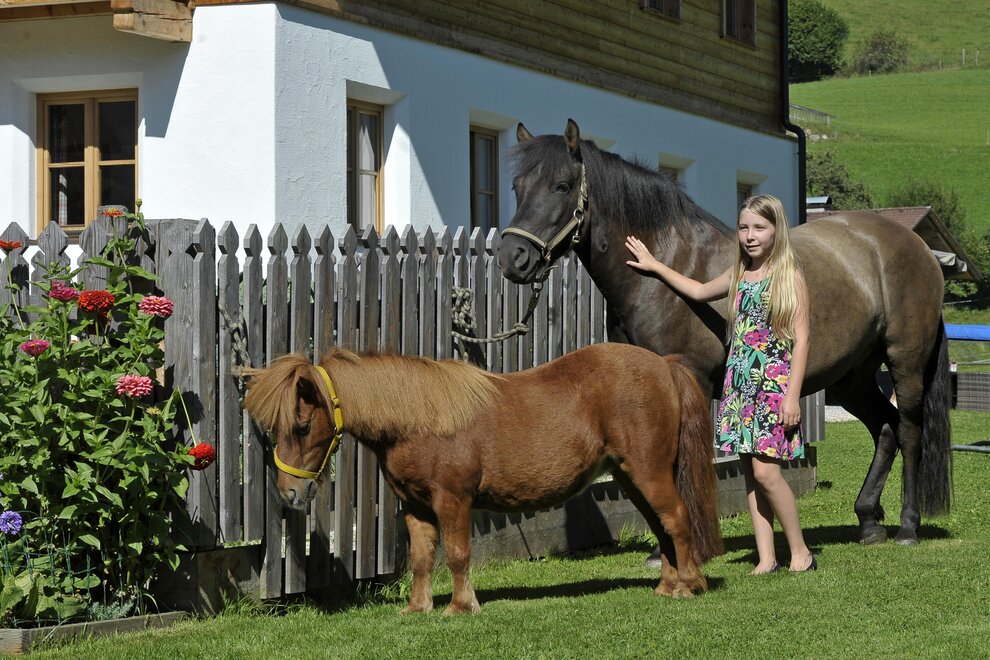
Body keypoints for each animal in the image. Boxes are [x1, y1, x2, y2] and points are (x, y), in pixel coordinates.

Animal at [243, 342, 724, 614]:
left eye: (302, 426)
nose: (290, 492)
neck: (418, 420)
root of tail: (663, 365)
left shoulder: (452, 500)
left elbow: (457, 555)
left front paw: (461, 606)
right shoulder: (416, 507)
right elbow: (421, 558)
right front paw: (418, 608)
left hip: (648, 472)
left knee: (677, 519)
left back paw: (687, 586)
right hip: (630, 477)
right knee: (661, 526)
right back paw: (667, 585)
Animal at [498, 119, 952, 547]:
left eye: (561, 185)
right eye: (517, 187)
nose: (511, 258)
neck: (666, 268)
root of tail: (920, 249)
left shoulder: (691, 378)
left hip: (905, 364)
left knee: (909, 431)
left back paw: (908, 526)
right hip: (851, 377)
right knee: (886, 428)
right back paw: (869, 520)